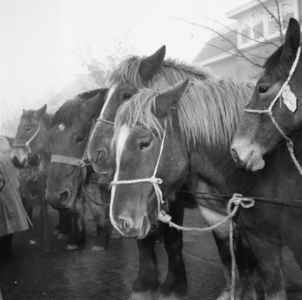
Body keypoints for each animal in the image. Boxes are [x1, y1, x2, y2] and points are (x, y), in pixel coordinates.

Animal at [86, 45, 256, 300]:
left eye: (126, 95)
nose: (94, 153)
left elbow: (176, 242)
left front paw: (174, 286)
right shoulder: (203, 209)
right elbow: (224, 249)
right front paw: (145, 283)